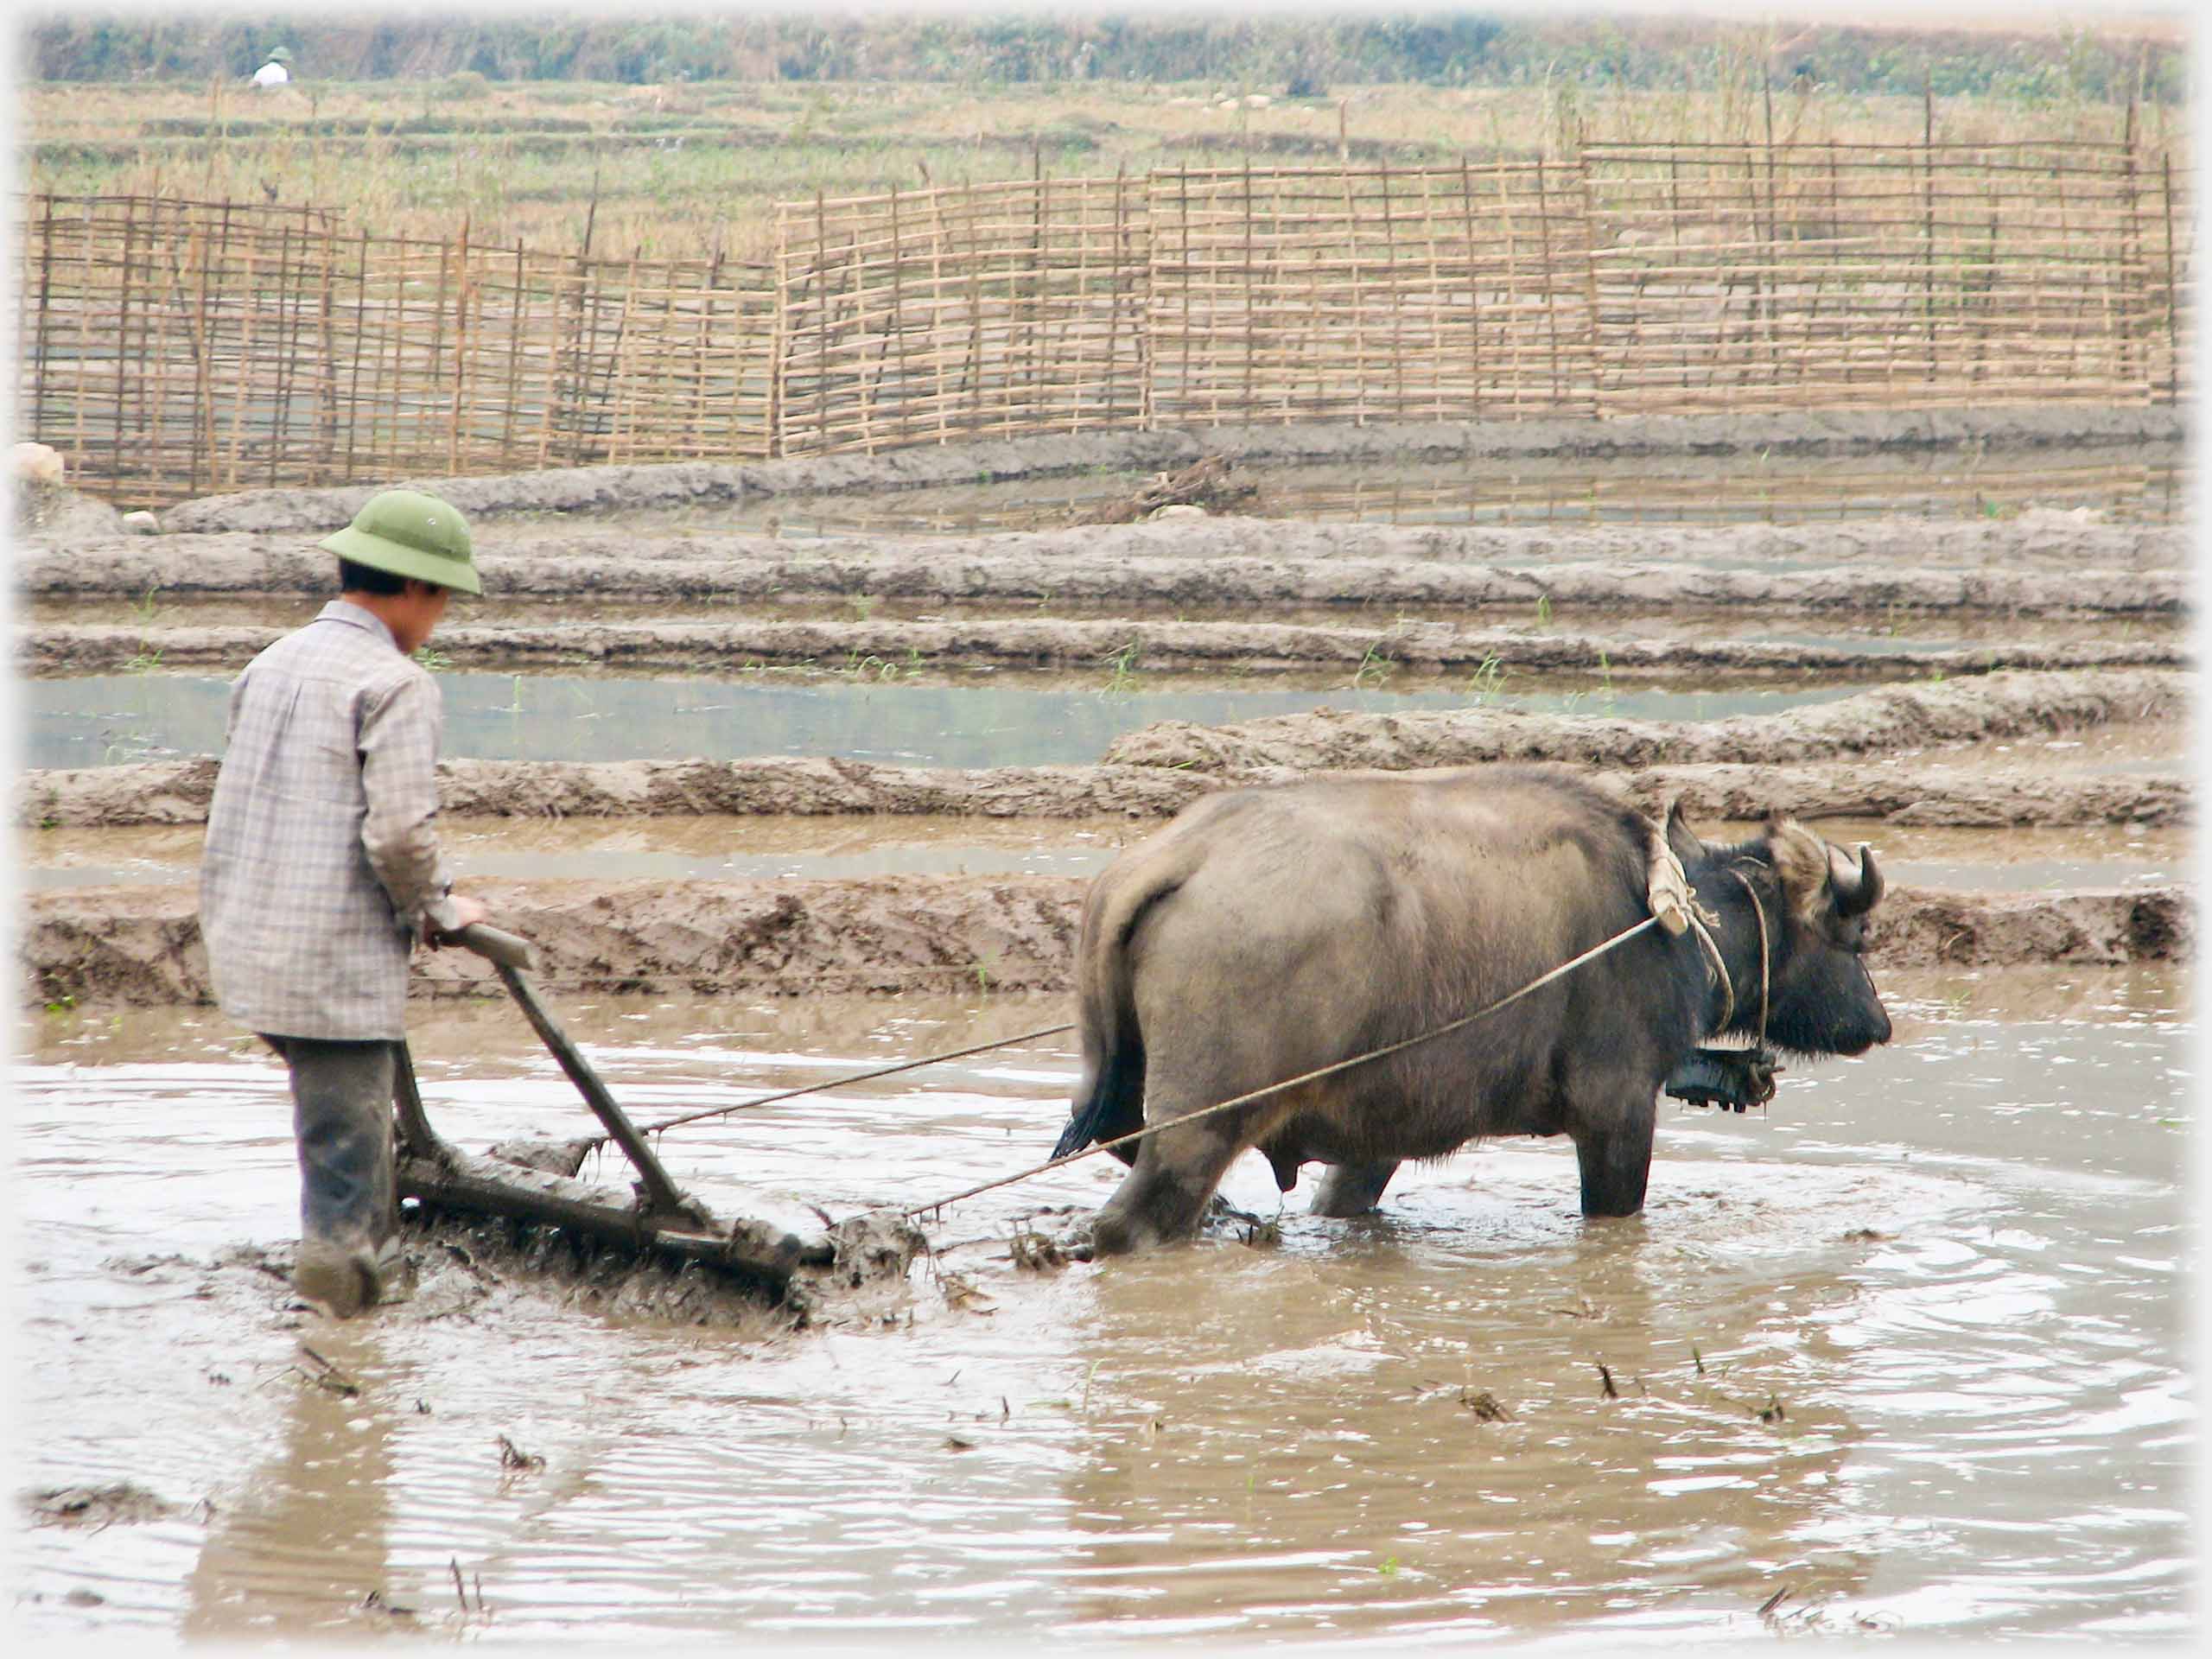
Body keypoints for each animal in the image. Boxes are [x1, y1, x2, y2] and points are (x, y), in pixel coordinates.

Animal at [1052, 760, 1885, 1256]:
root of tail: (1173, 858)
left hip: (1117, 1089)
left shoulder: (1376, 1136)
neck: (1667, 918)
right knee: (1135, 1219)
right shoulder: (1616, 1112)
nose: (1877, 1024)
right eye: (1856, 934)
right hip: (1201, 1127)